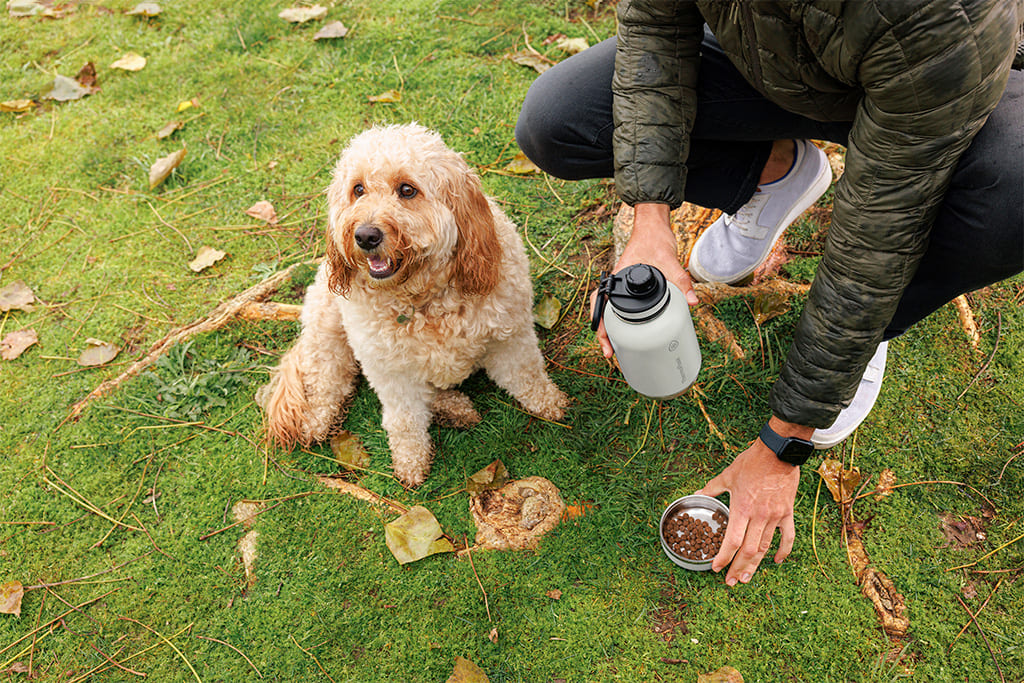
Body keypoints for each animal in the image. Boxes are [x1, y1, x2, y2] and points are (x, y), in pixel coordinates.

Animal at [264, 122, 569, 485]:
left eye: (407, 190)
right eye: (358, 189)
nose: (365, 236)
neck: (423, 300)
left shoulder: (509, 338)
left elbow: (526, 376)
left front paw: (550, 403)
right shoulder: (390, 372)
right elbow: (404, 420)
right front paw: (411, 462)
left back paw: (454, 408)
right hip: (328, 334)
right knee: (326, 382)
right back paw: (316, 421)